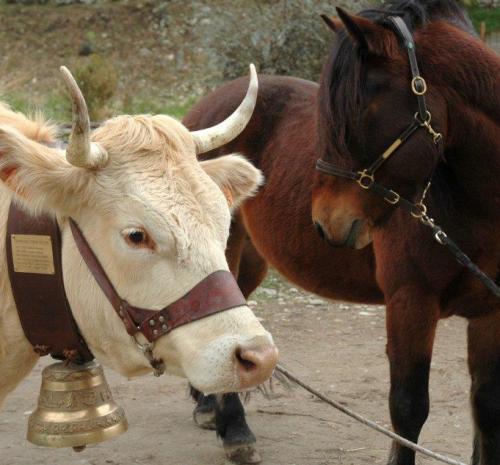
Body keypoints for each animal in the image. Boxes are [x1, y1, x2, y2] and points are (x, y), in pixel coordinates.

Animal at [185, 1, 500, 462]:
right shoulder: (410, 302)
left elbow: (486, 408)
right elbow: (408, 409)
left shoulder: (490, 314)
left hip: (251, 260)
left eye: (357, 112)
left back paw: (208, 405)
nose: (325, 220)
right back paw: (235, 430)